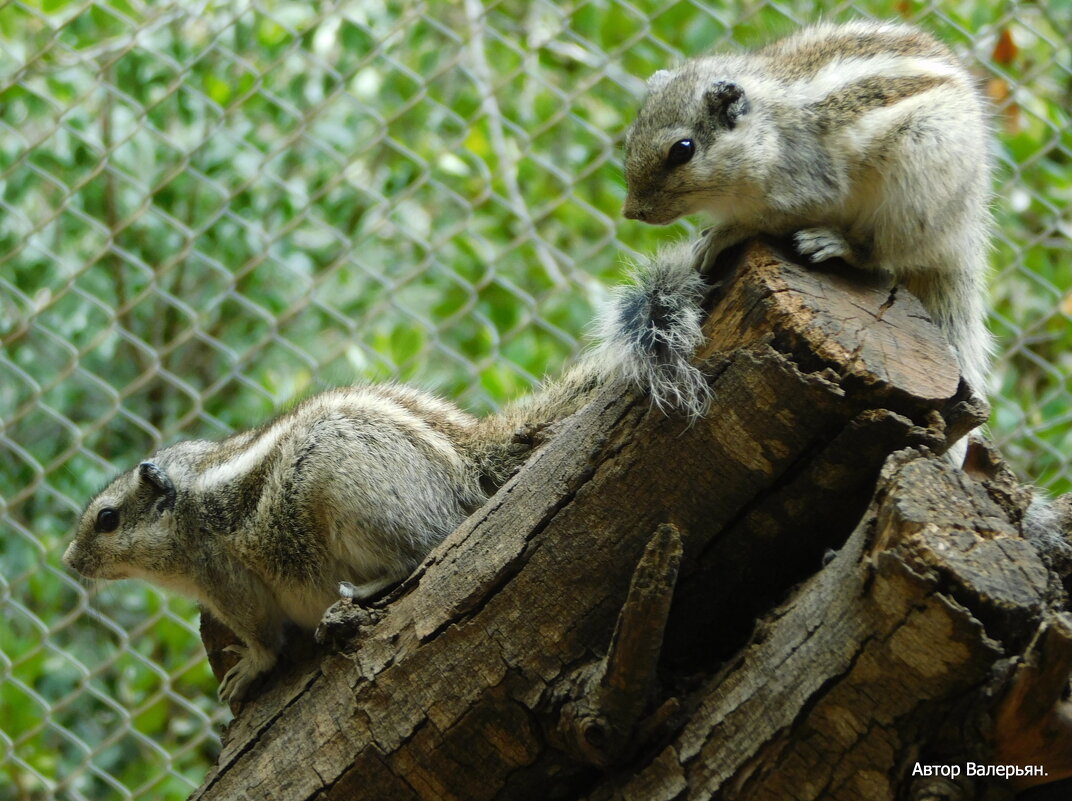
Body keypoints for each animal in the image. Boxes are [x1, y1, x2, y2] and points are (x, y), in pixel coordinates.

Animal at [62, 242, 707, 703]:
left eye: (107, 519)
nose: (68, 561)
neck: (190, 501)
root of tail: (469, 464)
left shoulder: (229, 582)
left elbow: (264, 641)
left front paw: (246, 671)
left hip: (350, 495)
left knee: (425, 548)